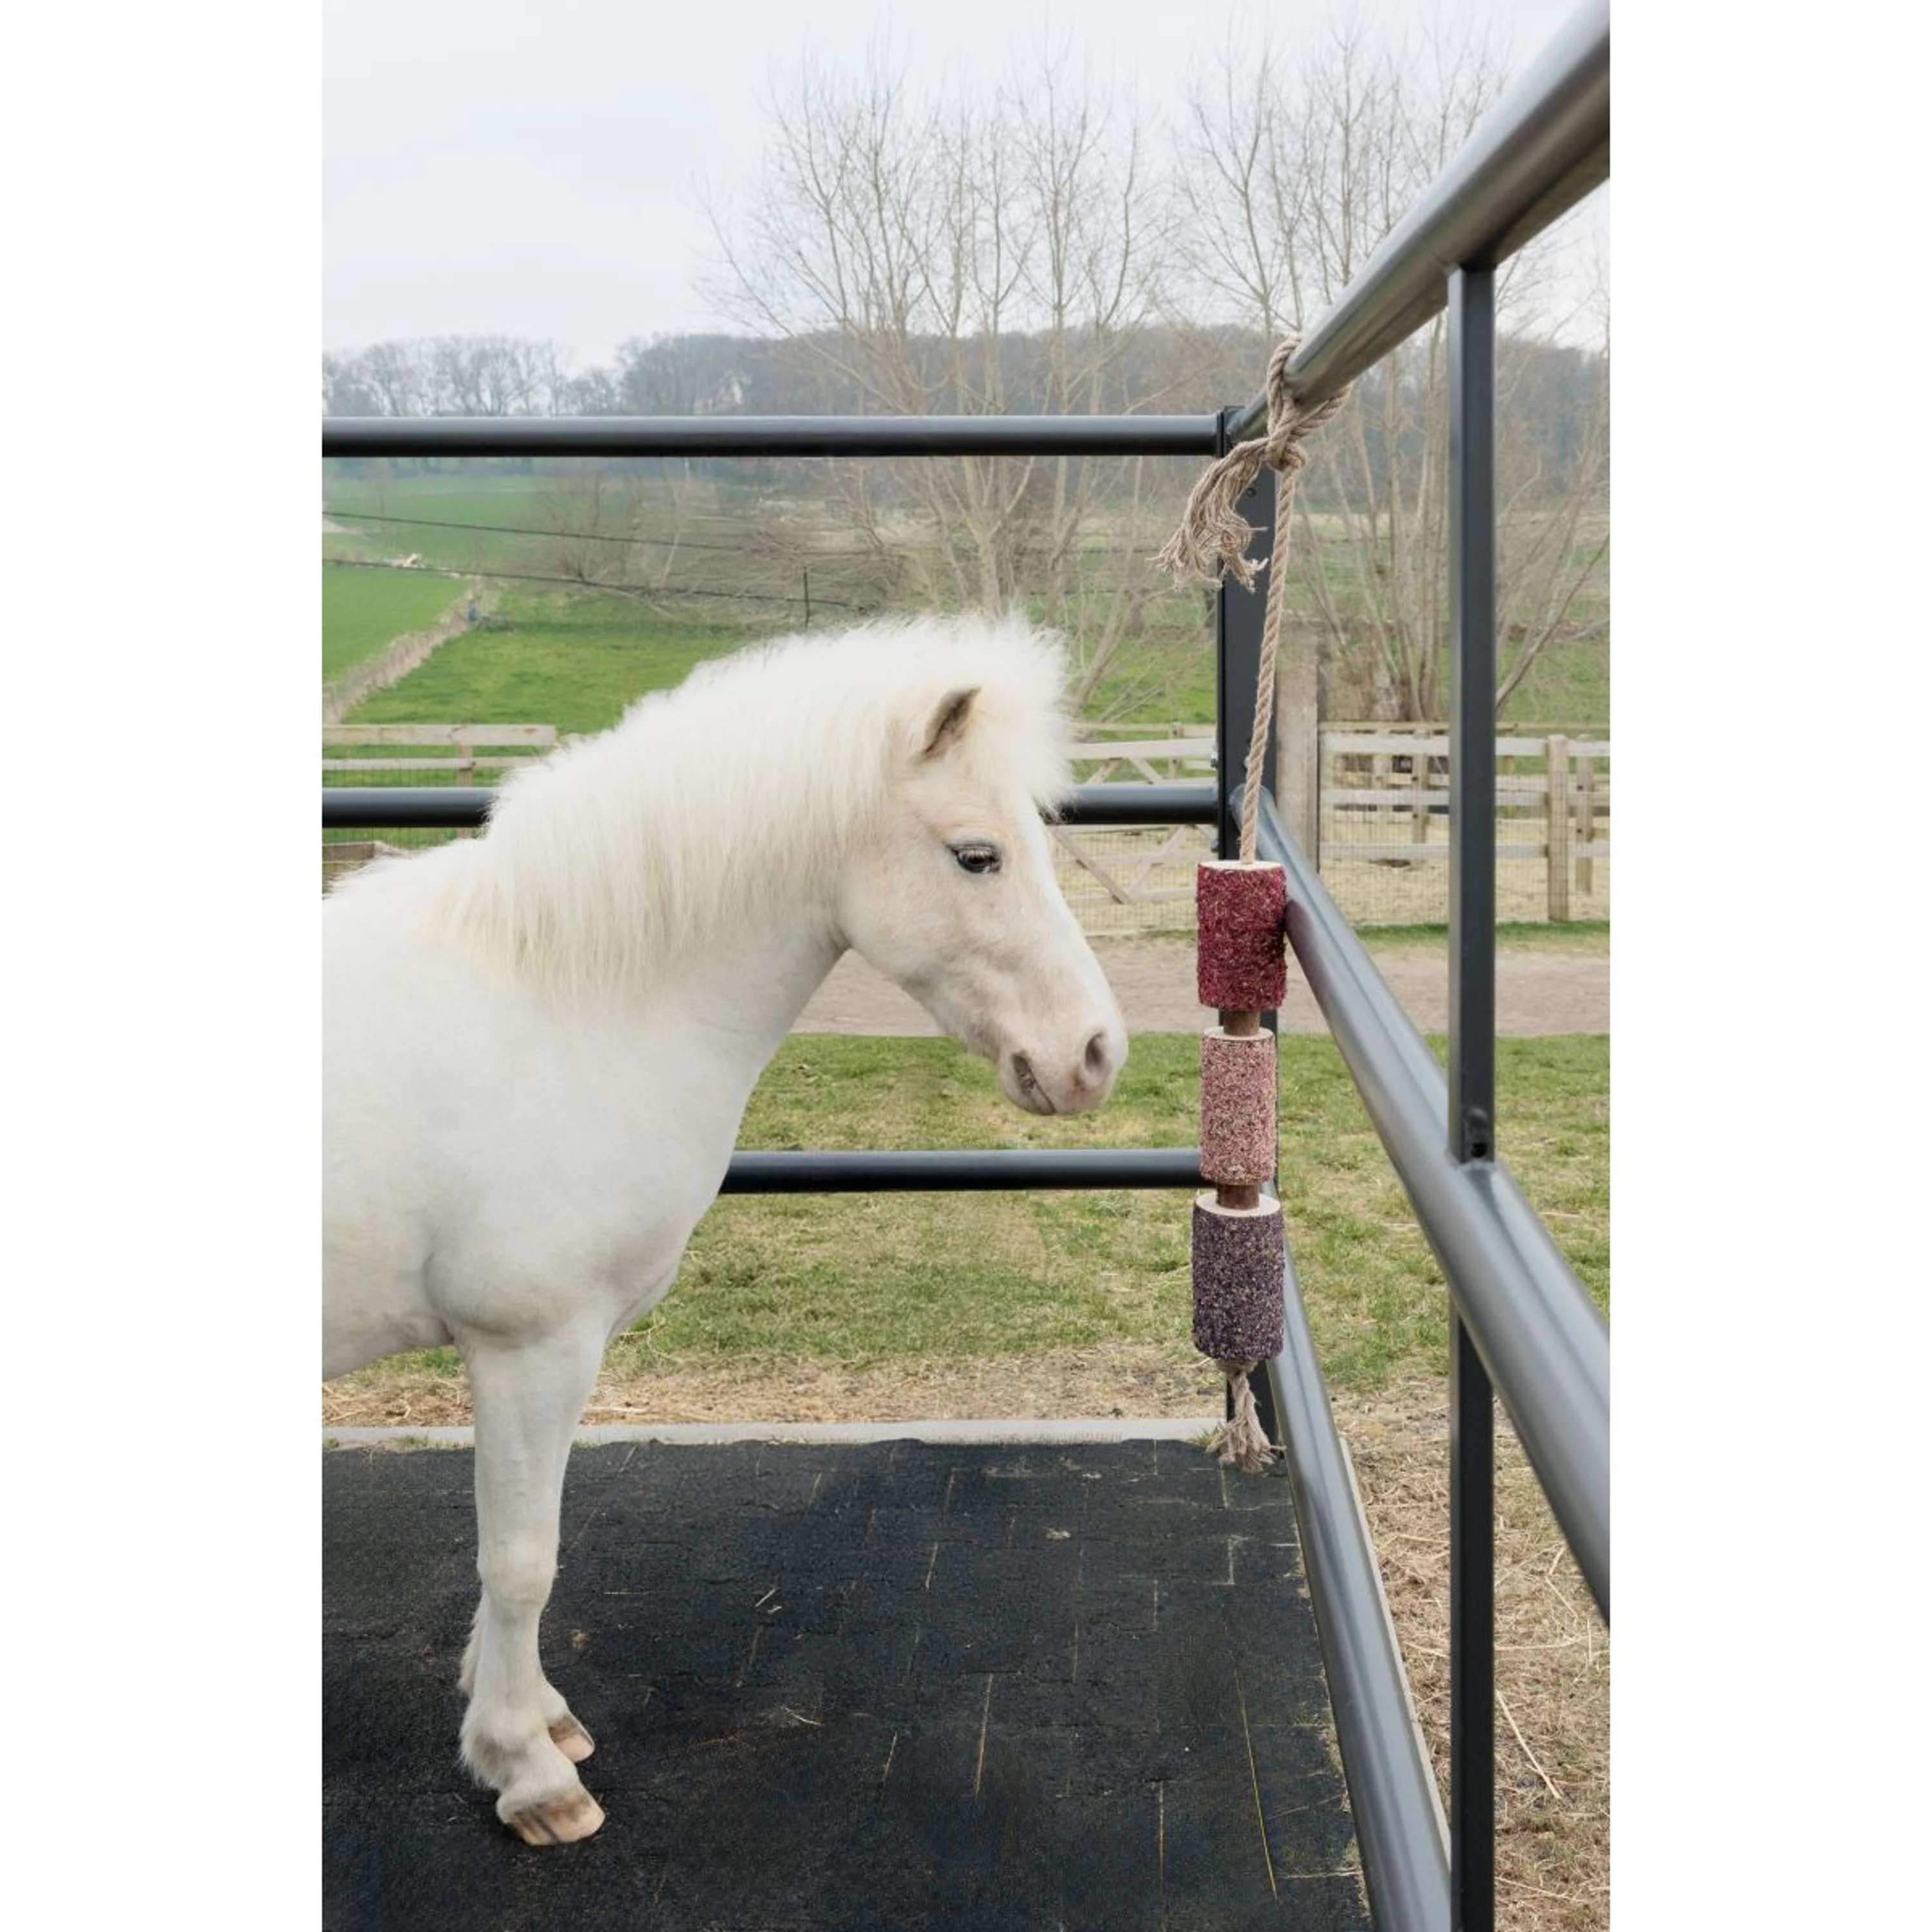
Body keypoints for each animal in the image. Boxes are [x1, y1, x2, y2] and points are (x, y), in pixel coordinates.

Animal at [323, 613, 1129, 1846]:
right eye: (977, 856)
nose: (1093, 1053)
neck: (562, 1003)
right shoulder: (528, 1347)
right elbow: (521, 1559)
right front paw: (526, 1773)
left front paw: (540, 1720)